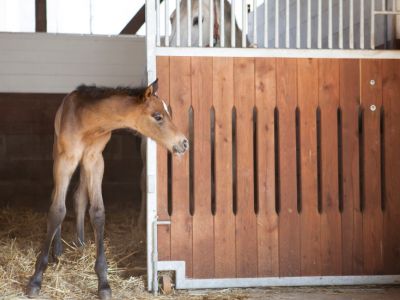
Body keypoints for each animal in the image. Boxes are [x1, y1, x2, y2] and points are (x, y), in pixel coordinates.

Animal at [27, 80, 189, 300]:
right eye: (158, 116)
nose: (184, 143)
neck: (88, 123)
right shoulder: (66, 158)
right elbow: (57, 210)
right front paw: (36, 278)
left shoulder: (95, 159)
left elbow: (97, 212)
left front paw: (103, 282)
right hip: (58, 154)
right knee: (57, 196)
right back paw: (58, 250)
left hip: (85, 163)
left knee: (79, 197)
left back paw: (80, 244)